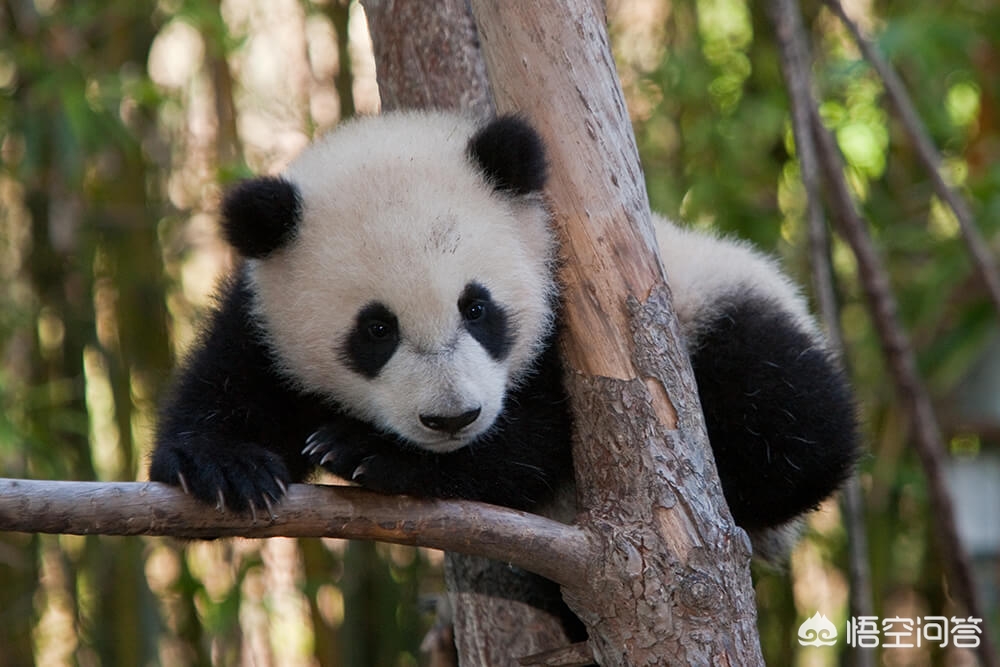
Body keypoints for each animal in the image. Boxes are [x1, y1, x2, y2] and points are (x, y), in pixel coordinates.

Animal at [150, 111, 860, 564]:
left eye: (477, 308)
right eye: (376, 329)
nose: (451, 418)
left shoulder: (581, 319)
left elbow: (540, 436)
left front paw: (370, 454)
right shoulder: (263, 318)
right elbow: (231, 384)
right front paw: (227, 467)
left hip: (725, 308)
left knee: (795, 425)